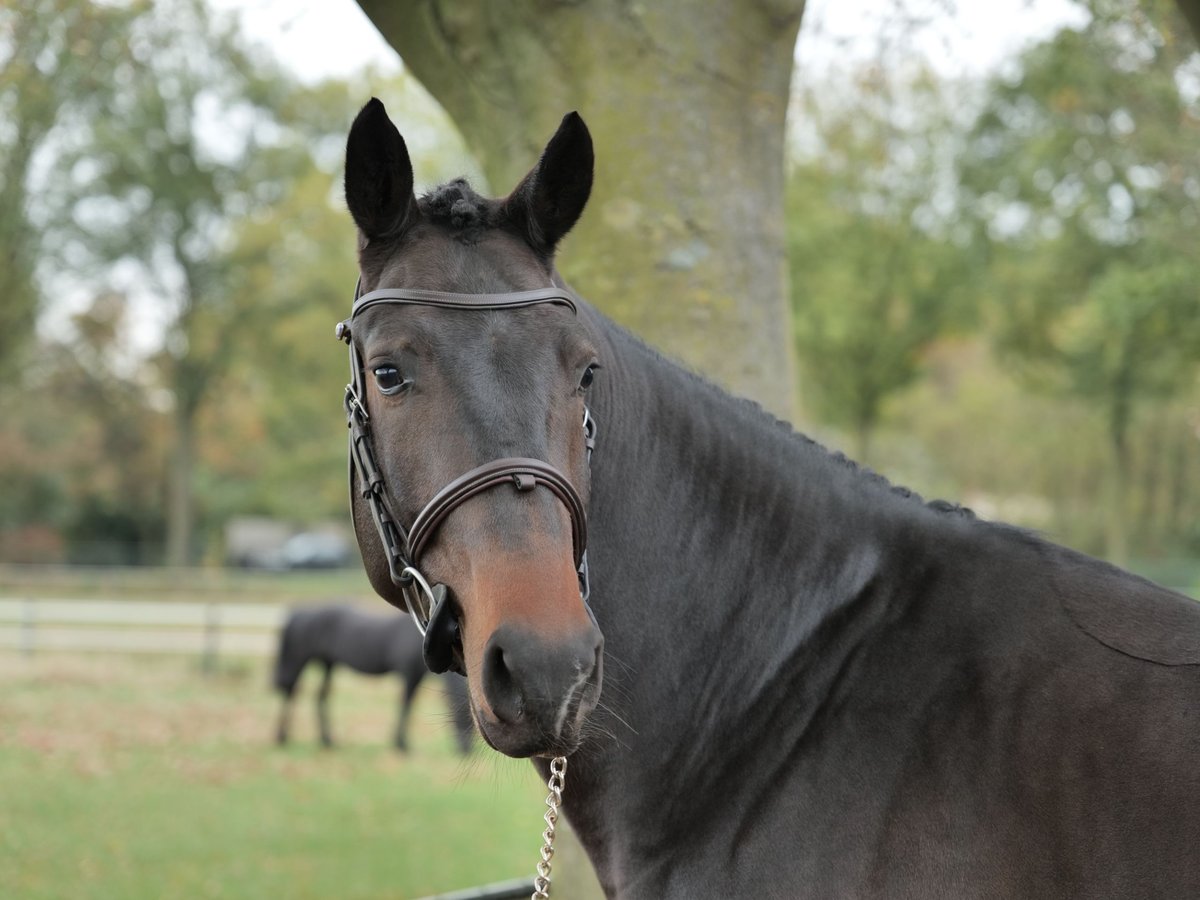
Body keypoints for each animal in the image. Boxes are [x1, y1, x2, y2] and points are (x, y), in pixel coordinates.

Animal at [274, 607, 475, 753]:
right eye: (460, 717)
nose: (466, 751)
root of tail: (300, 614)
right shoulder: (409, 674)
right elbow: (406, 704)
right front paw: (401, 743)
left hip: (327, 664)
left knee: (319, 695)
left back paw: (327, 740)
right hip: (300, 661)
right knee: (291, 692)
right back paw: (281, 737)